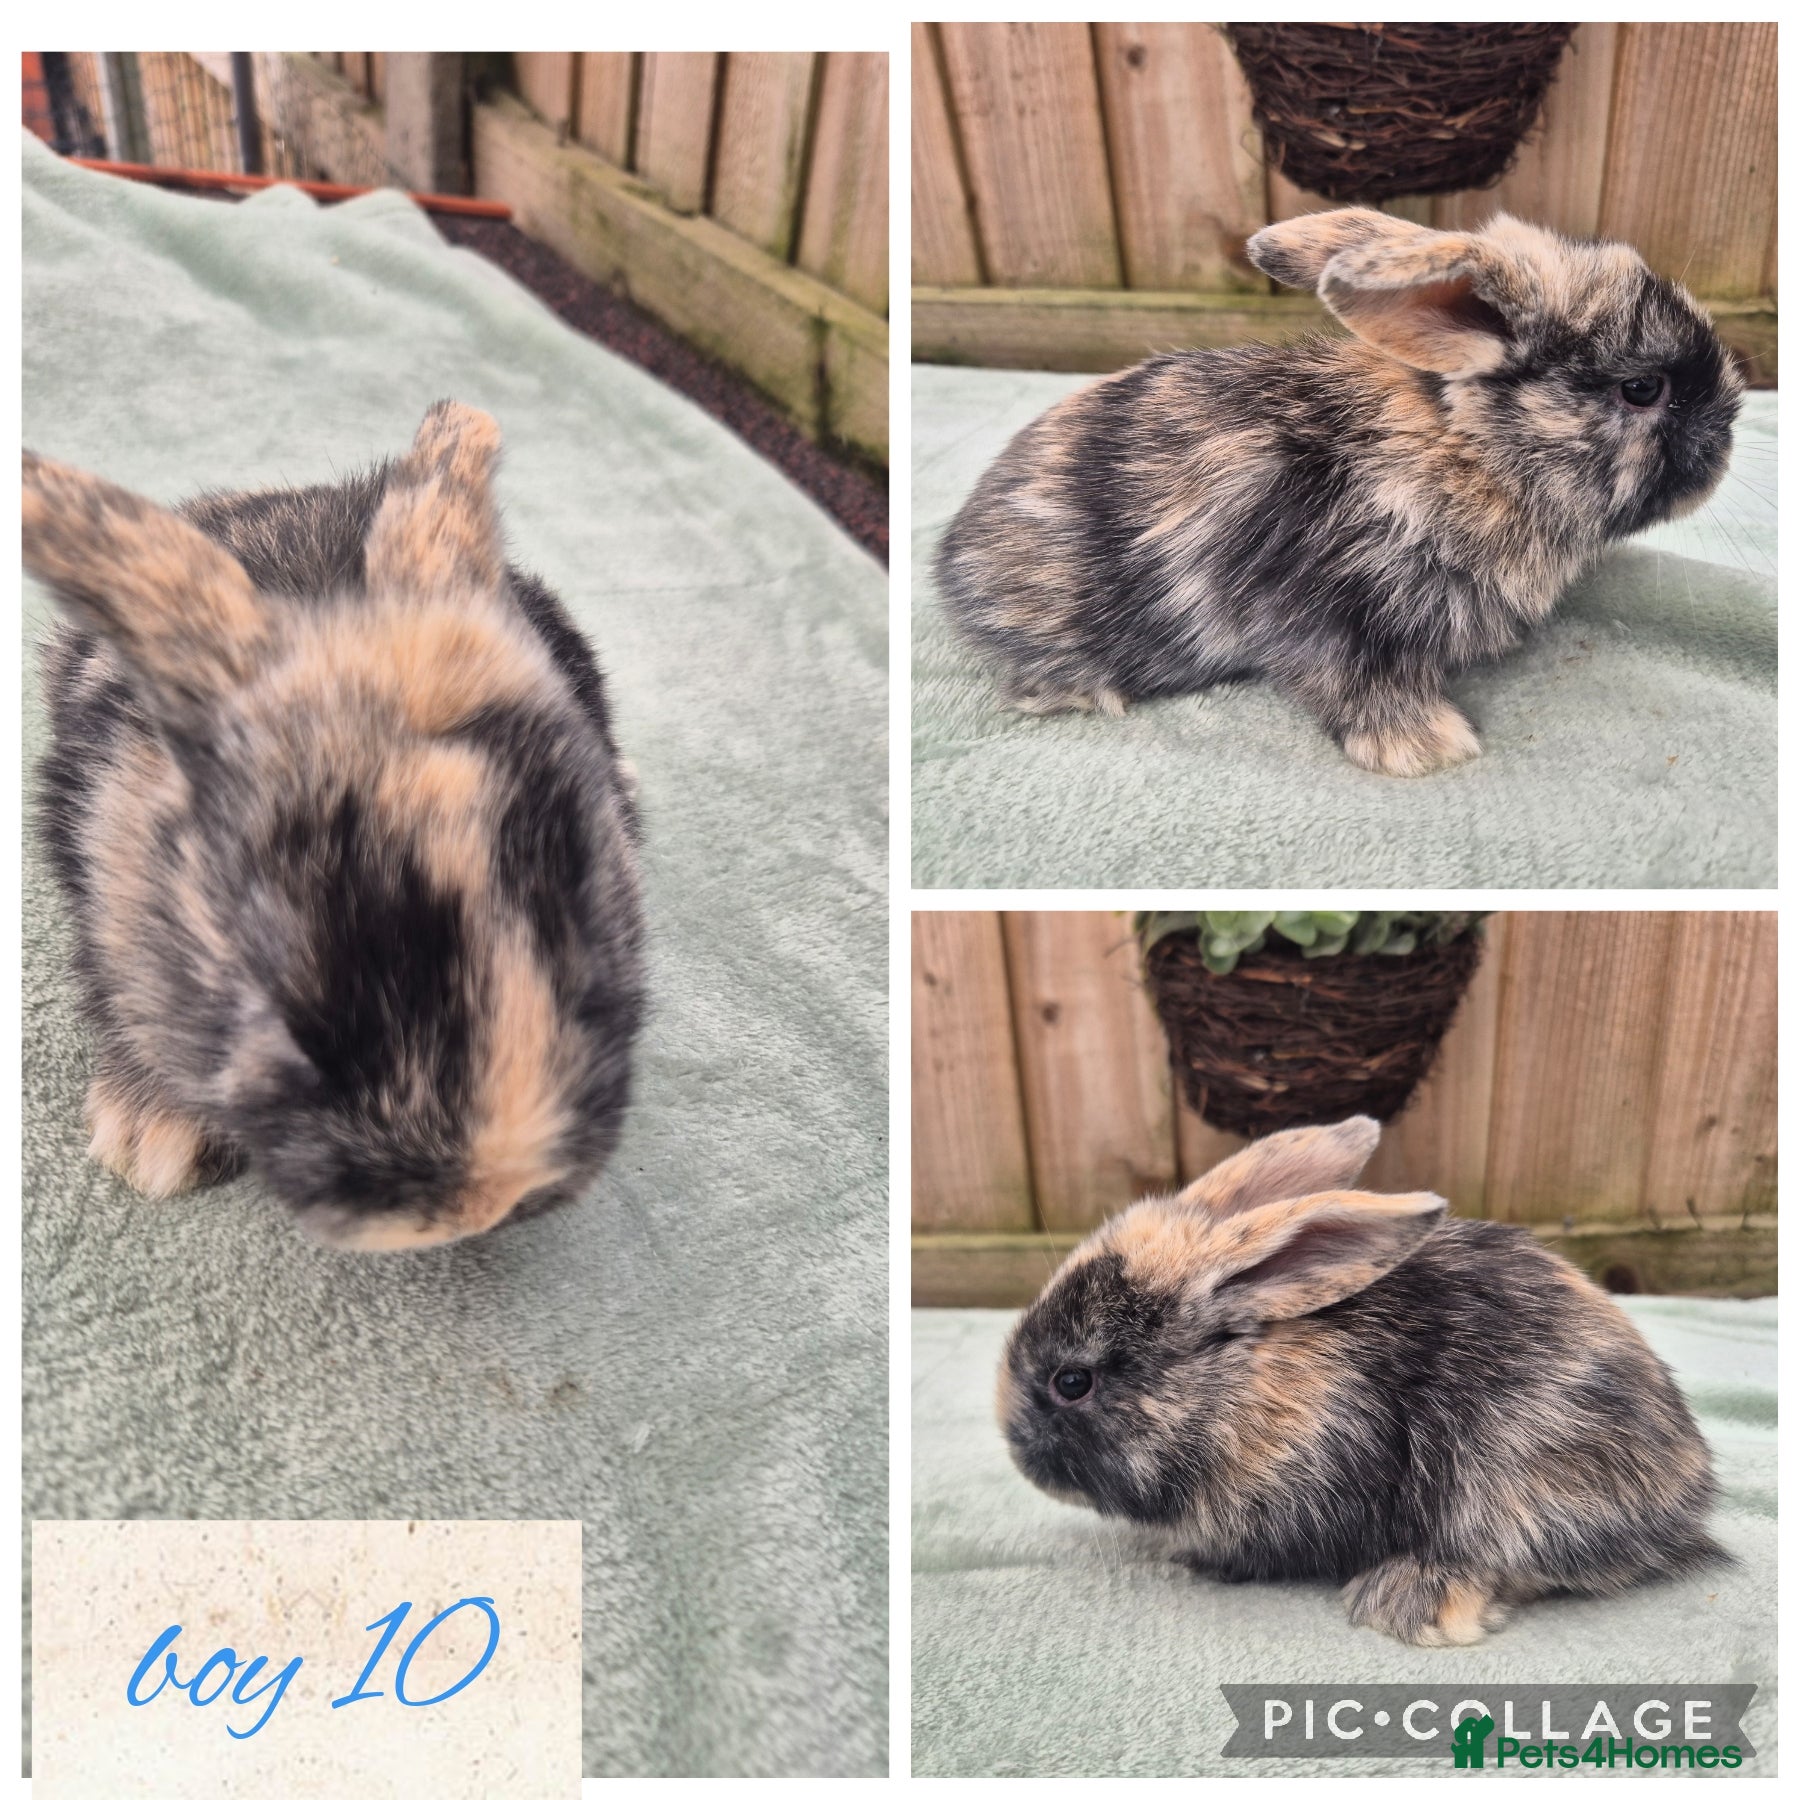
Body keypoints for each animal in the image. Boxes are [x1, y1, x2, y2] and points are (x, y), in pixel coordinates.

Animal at [936, 208, 1742, 776]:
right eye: (1642, 389)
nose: (1727, 441)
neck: (1469, 448)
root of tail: (951, 560)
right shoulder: (1336, 617)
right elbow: (1356, 686)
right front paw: (1430, 749)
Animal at [997, 1116, 1725, 1646]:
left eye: (1073, 1381)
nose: (1017, 1451)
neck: (1234, 1379)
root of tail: (1684, 1499)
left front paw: (1198, 1562)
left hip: (1510, 1487)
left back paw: (1409, 1601)